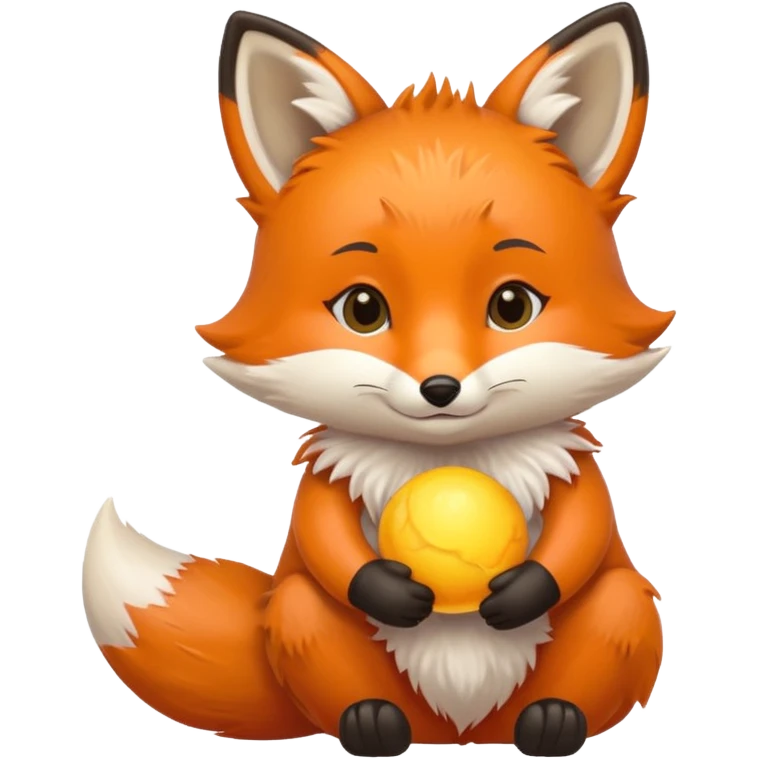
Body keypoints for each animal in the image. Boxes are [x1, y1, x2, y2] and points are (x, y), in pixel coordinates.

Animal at [81, 4, 673, 757]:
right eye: (362, 309)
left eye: (512, 306)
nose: (440, 388)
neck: (446, 457)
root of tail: (459, 731)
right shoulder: (328, 482)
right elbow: (325, 541)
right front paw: (390, 593)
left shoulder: (570, 474)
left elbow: (584, 532)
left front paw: (521, 591)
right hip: (297, 615)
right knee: (324, 639)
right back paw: (370, 722)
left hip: (623, 611)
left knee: (599, 634)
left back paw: (551, 721)